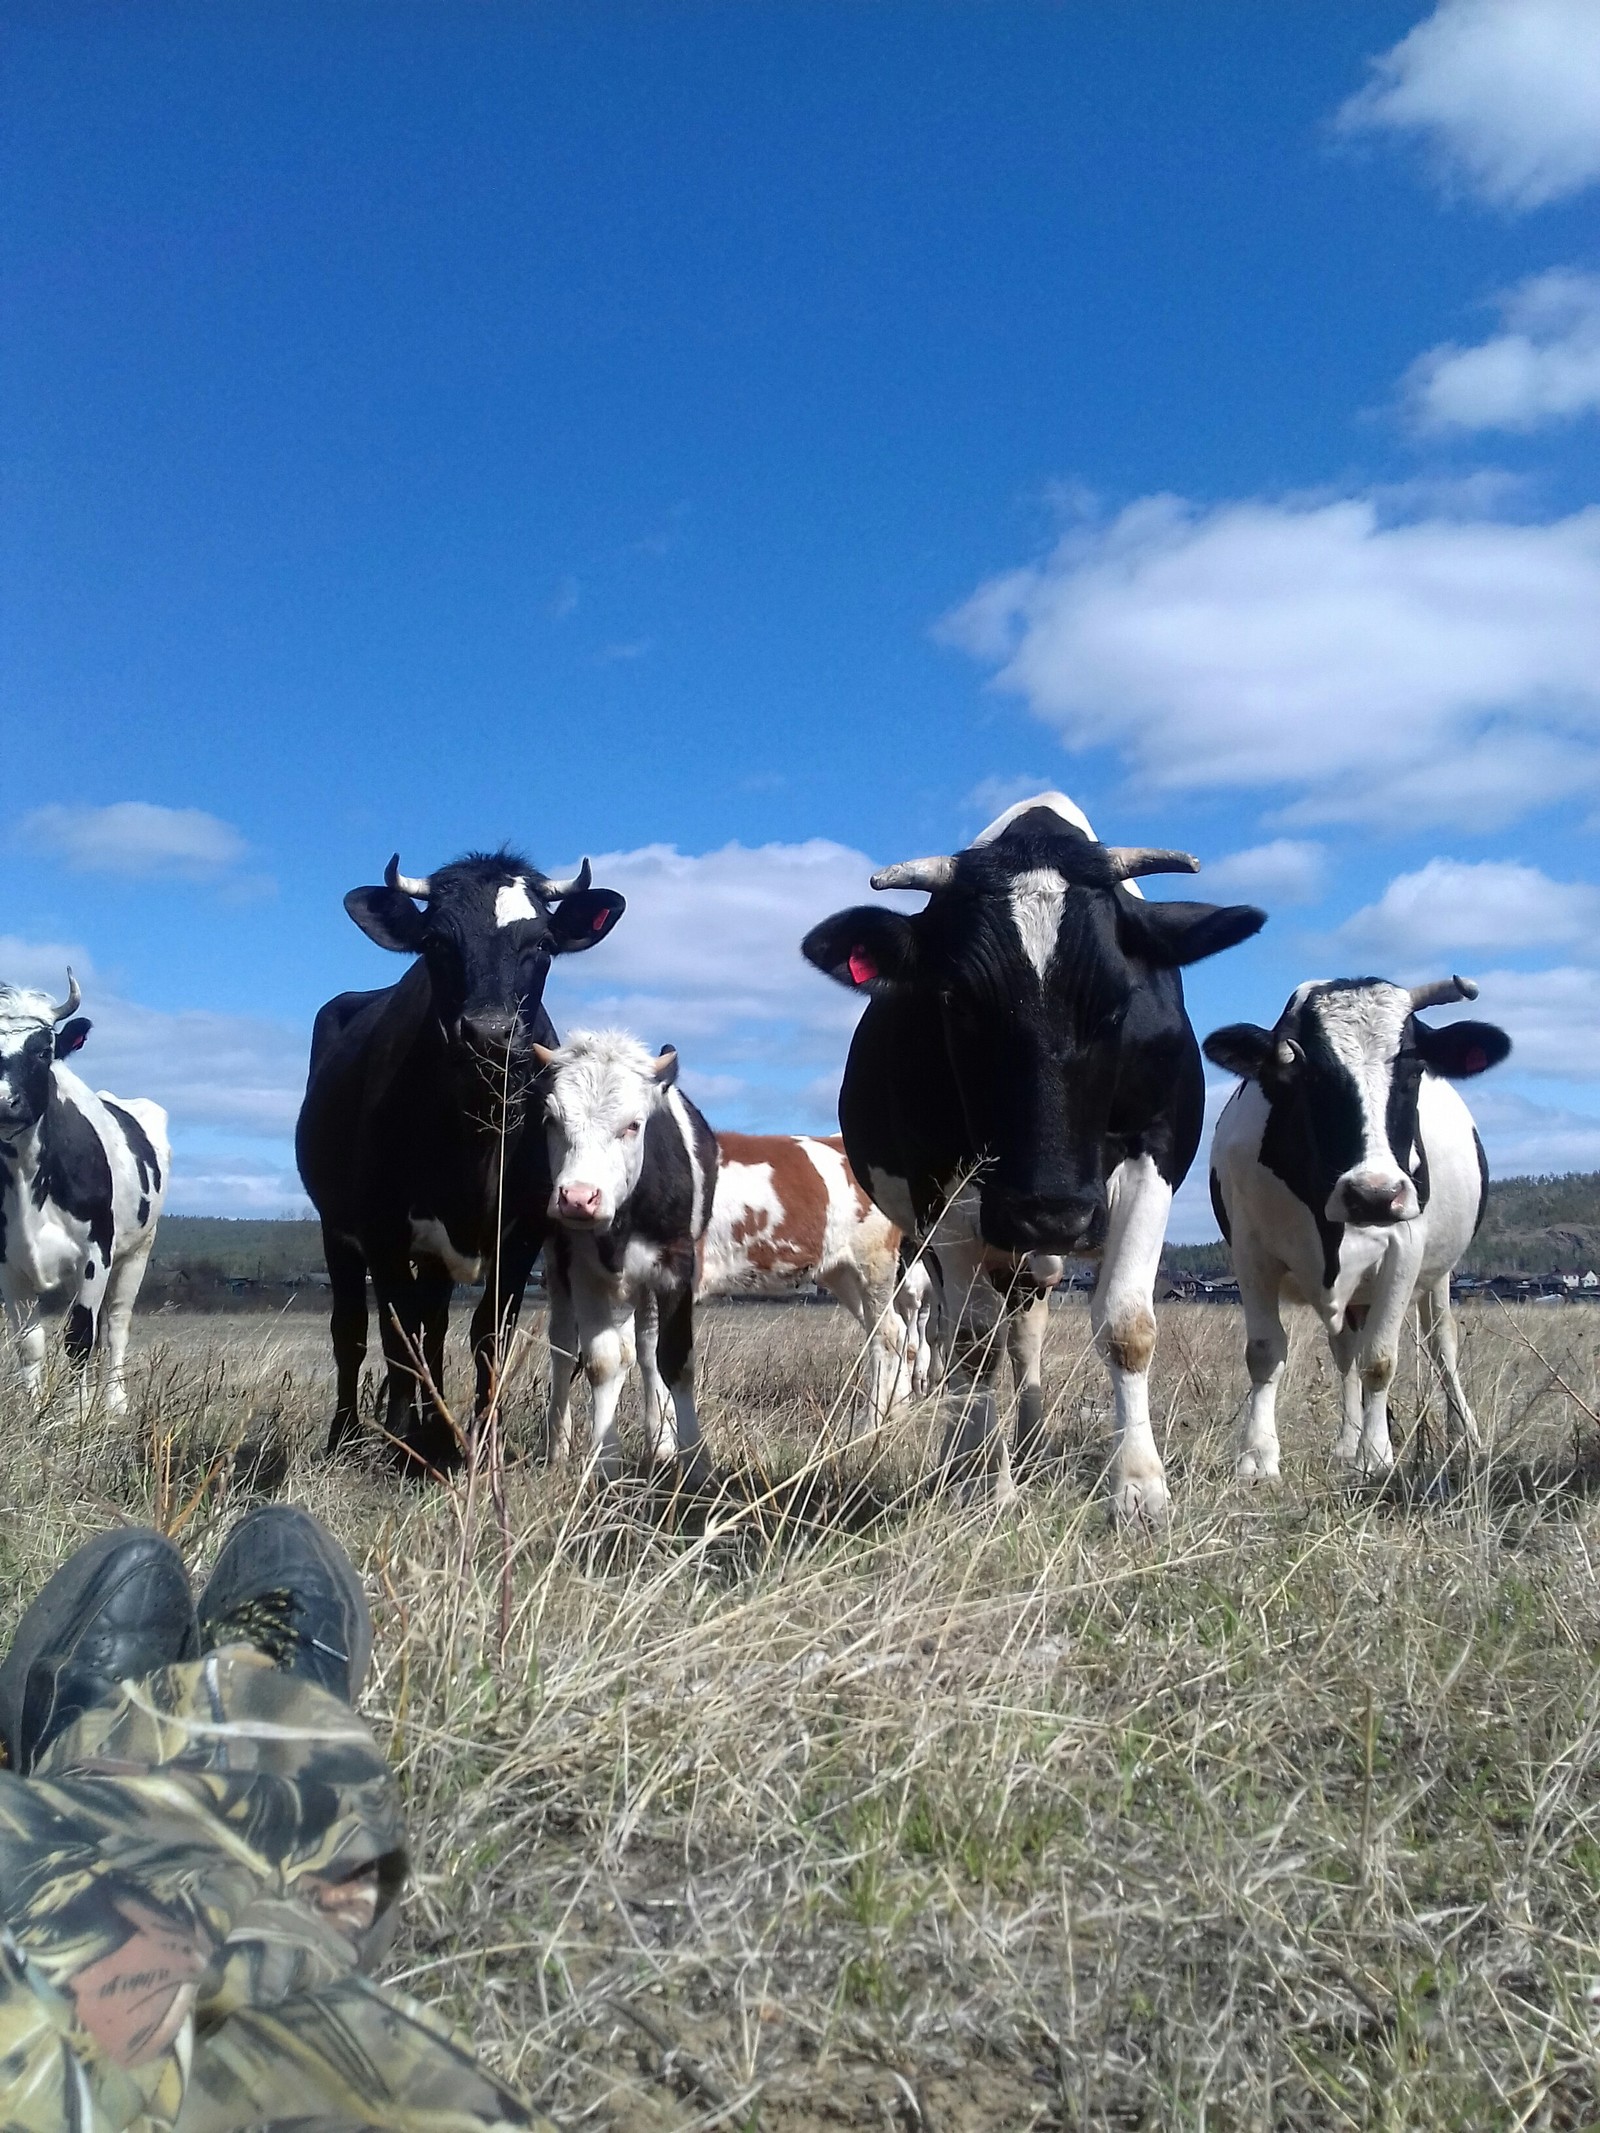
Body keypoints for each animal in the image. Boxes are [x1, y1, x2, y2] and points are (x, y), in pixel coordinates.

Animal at [0, 972, 167, 1407]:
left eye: (43, 1051)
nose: (4, 1102)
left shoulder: (96, 1254)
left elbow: (79, 1339)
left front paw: (76, 1411)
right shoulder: (8, 1264)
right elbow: (29, 1344)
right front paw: (36, 1409)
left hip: (137, 1251)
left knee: (116, 1325)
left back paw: (114, 1401)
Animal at [294, 840, 627, 1476]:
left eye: (542, 944)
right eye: (436, 943)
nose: (490, 1034)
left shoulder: (522, 1231)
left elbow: (486, 1335)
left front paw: (480, 1441)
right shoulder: (381, 1229)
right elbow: (396, 1337)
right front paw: (400, 1443)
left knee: (433, 1323)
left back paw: (436, 1428)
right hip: (335, 1229)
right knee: (353, 1331)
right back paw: (351, 1434)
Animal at [535, 1028, 716, 1484]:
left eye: (633, 1125)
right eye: (551, 1120)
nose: (577, 1198)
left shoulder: (675, 1269)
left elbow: (676, 1360)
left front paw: (696, 1462)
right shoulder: (582, 1271)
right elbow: (602, 1361)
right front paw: (604, 1462)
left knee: (648, 1350)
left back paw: (661, 1442)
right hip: (559, 1270)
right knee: (565, 1347)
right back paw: (558, 1445)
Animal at [806, 793, 1271, 1527]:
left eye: (1118, 1000)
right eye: (956, 1001)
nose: (1050, 1210)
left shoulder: (1155, 1156)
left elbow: (1127, 1325)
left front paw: (1138, 1487)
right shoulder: (944, 1188)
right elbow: (972, 1342)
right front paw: (978, 1485)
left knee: (1025, 1331)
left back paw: (1030, 1446)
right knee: (966, 1334)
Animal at [1211, 972, 1518, 1484]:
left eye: (1414, 1069)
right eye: (1307, 1074)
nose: (1373, 1194)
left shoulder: (1404, 1249)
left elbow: (1381, 1360)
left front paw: (1376, 1455)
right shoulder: (1251, 1251)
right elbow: (1265, 1351)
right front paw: (1258, 1456)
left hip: (1438, 1277)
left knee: (1441, 1348)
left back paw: (1463, 1436)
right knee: (1345, 1354)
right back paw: (1346, 1443)